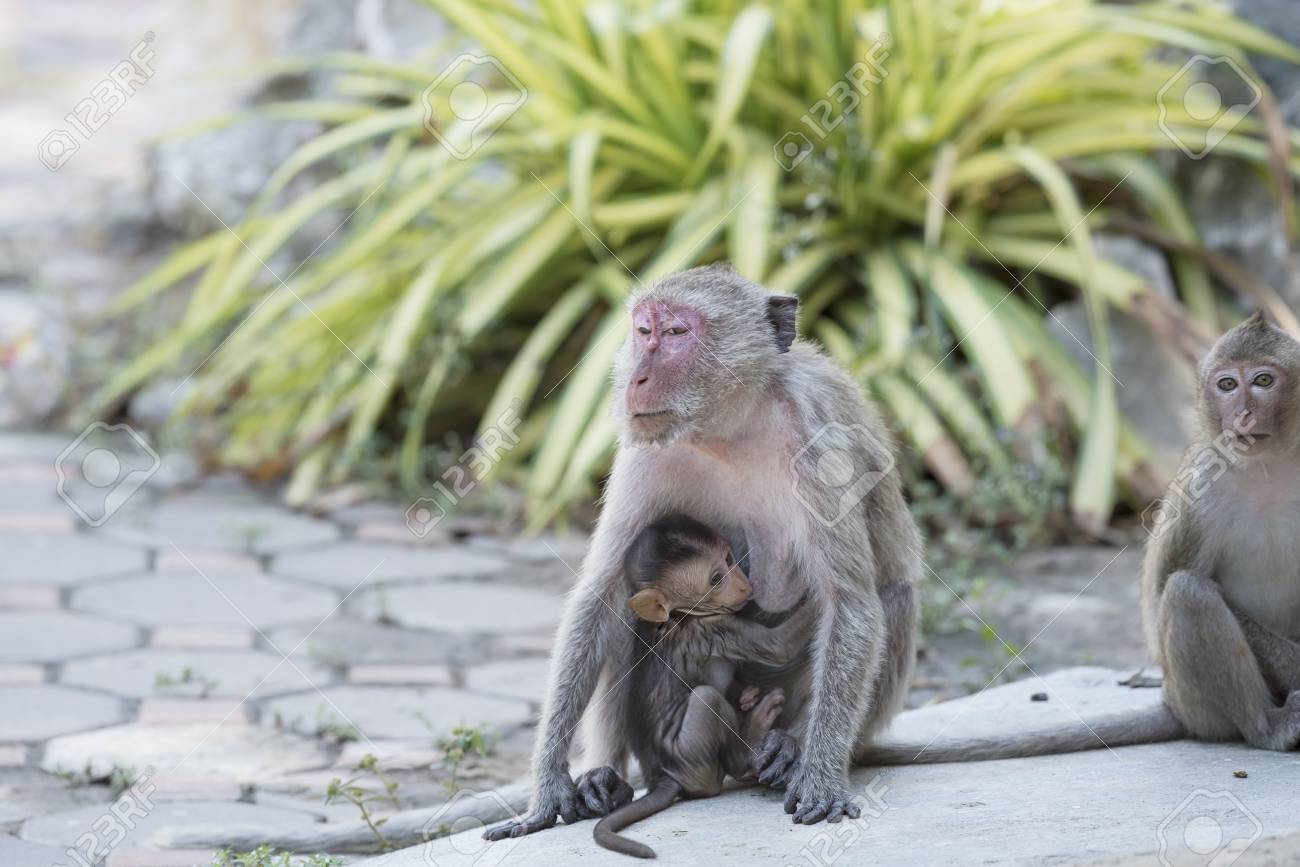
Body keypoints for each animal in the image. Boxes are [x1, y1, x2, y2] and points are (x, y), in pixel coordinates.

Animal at [592, 513, 791, 858]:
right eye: (715, 579)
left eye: (729, 559)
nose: (745, 585)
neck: (679, 615)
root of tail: (666, 776)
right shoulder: (715, 628)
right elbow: (781, 644)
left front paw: (746, 694)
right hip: (694, 757)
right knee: (707, 699)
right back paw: (751, 739)